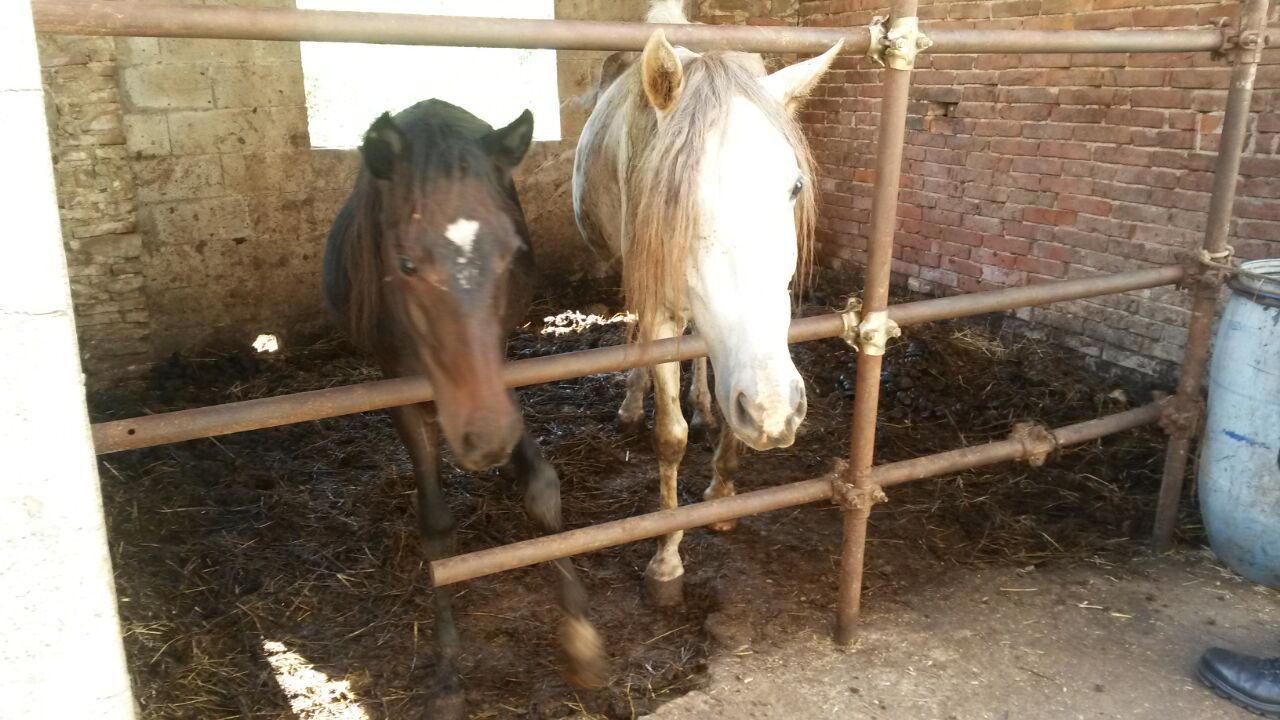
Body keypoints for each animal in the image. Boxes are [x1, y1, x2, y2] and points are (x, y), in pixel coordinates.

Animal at [323, 99, 606, 714]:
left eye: (512, 253)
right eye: (406, 263)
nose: (484, 439)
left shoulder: (499, 368)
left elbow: (542, 488)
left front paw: (580, 636)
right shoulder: (402, 388)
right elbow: (436, 529)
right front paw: (449, 674)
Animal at [572, 1, 841, 606]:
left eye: (793, 187)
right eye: (678, 195)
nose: (774, 411)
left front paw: (722, 491)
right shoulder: (660, 309)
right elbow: (668, 438)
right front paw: (666, 560)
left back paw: (702, 406)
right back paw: (633, 405)